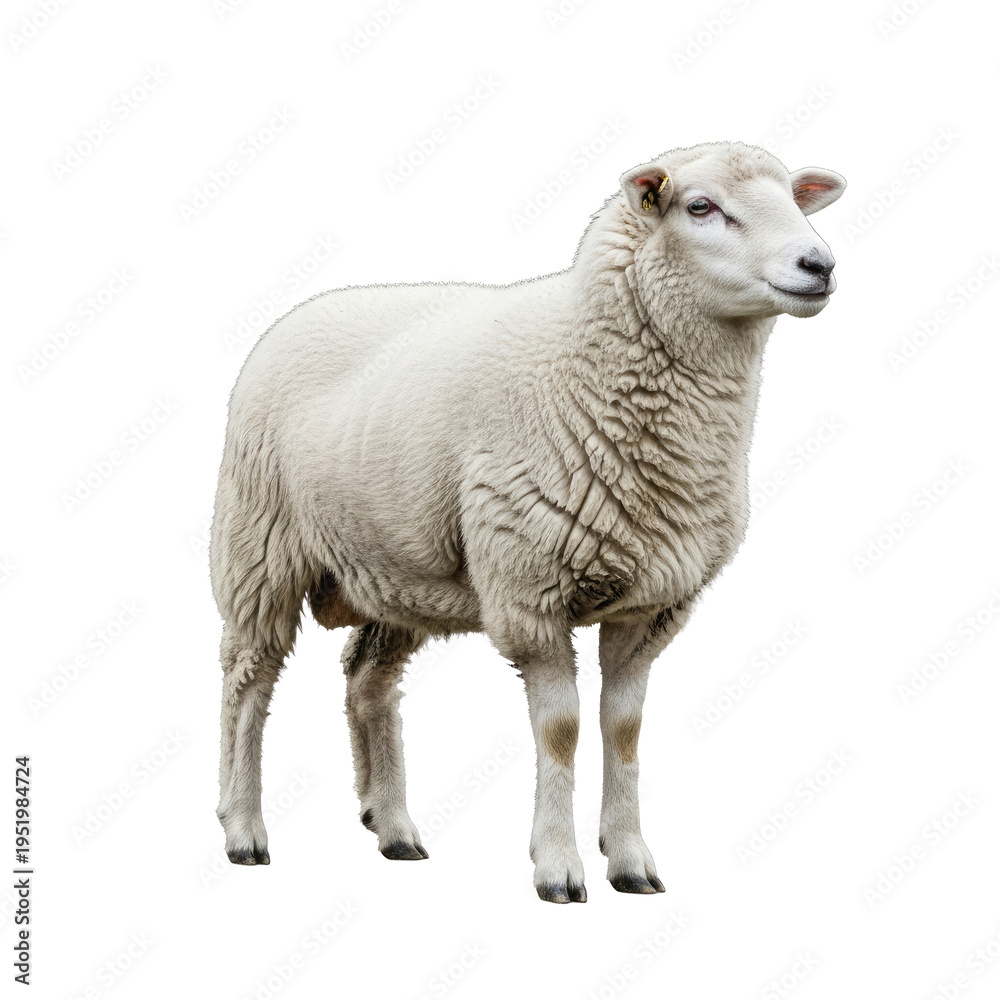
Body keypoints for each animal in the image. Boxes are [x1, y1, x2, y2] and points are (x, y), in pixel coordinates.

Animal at [211, 140, 846, 903]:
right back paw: (243, 829)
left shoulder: (649, 608)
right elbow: (564, 731)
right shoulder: (530, 591)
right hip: (258, 545)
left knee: (366, 680)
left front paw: (631, 862)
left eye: (793, 197)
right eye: (700, 206)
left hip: (395, 568)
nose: (820, 264)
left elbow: (624, 730)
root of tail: (306, 311)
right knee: (248, 681)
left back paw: (392, 826)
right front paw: (559, 868)